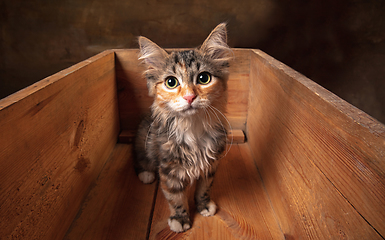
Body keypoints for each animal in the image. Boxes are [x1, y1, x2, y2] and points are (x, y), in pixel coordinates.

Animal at [134, 23, 231, 232]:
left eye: (204, 78)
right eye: (171, 82)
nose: (189, 97)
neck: (193, 128)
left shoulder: (211, 165)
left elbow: (204, 188)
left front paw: (204, 205)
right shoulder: (169, 170)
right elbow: (175, 197)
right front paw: (180, 218)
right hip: (143, 141)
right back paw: (146, 174)